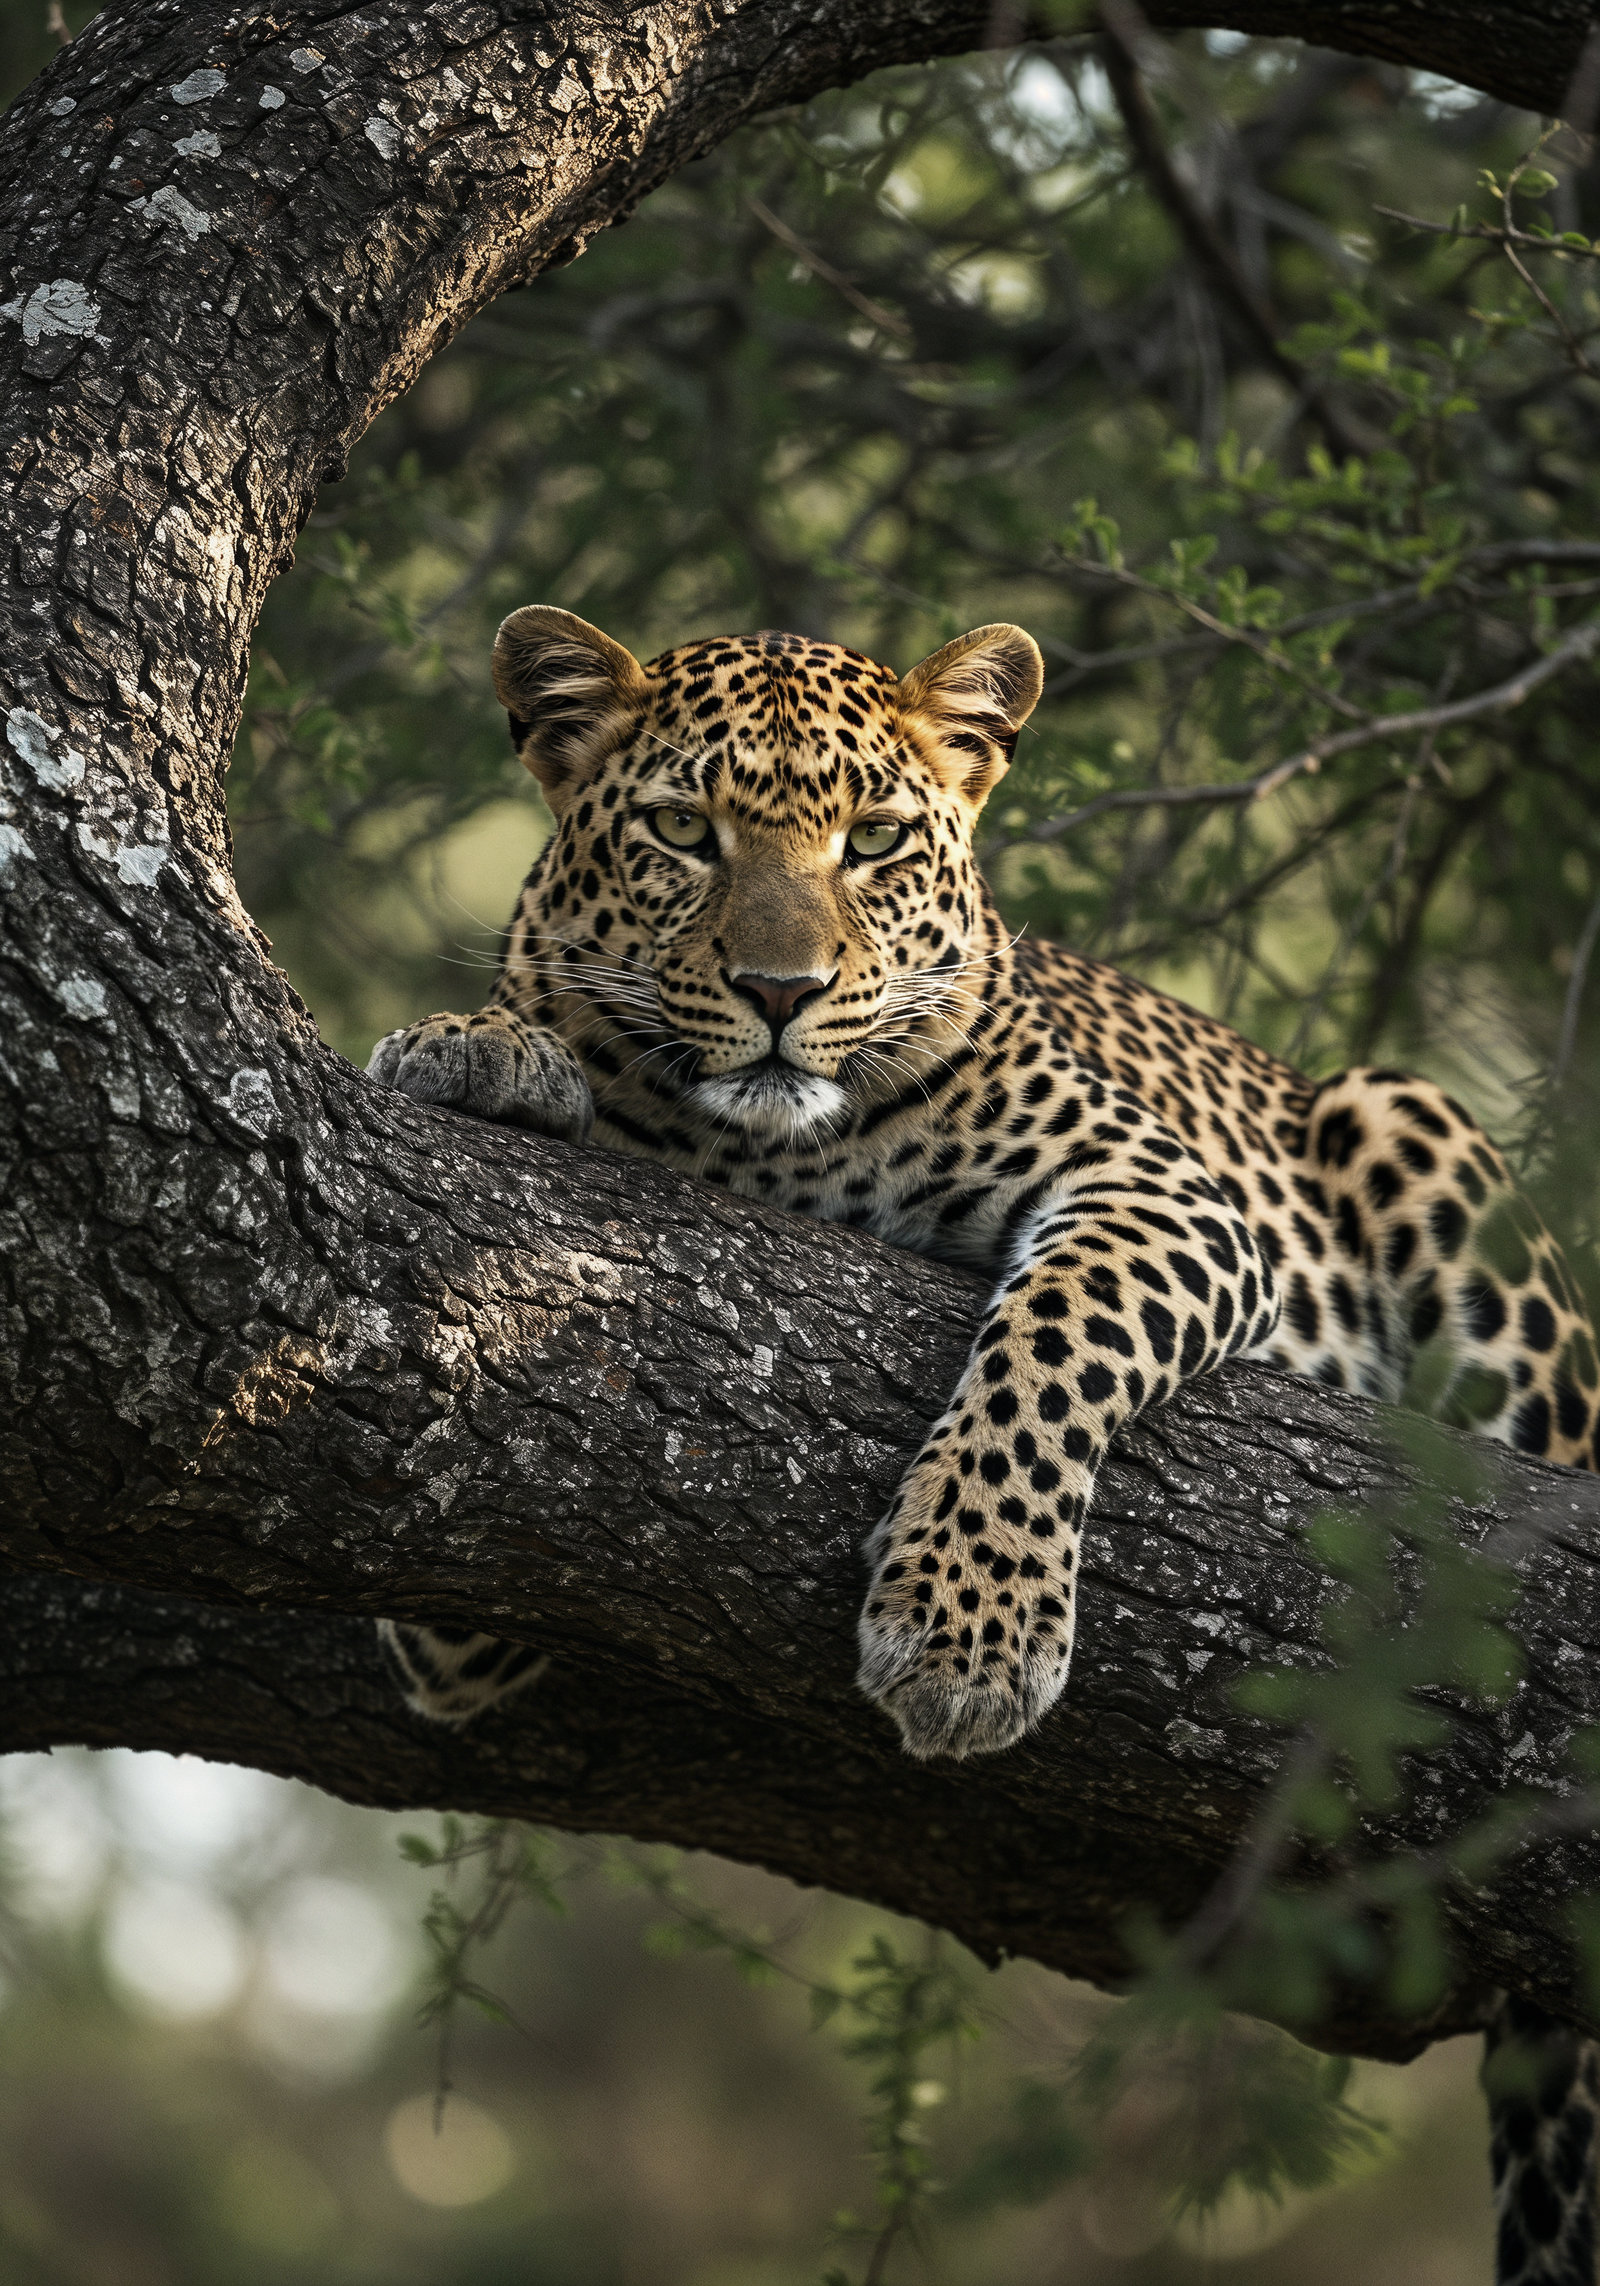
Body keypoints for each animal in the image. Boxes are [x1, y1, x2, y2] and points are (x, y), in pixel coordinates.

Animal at [368, 608, 1600, 2284]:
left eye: (876, 841)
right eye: (685, 833)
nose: (778, 988)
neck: (754, 1150)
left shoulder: (1165, 1195)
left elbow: (1048, 1347)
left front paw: (967, 1631)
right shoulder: (467, 1590)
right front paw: (486, 1052)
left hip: (1412, 1129)